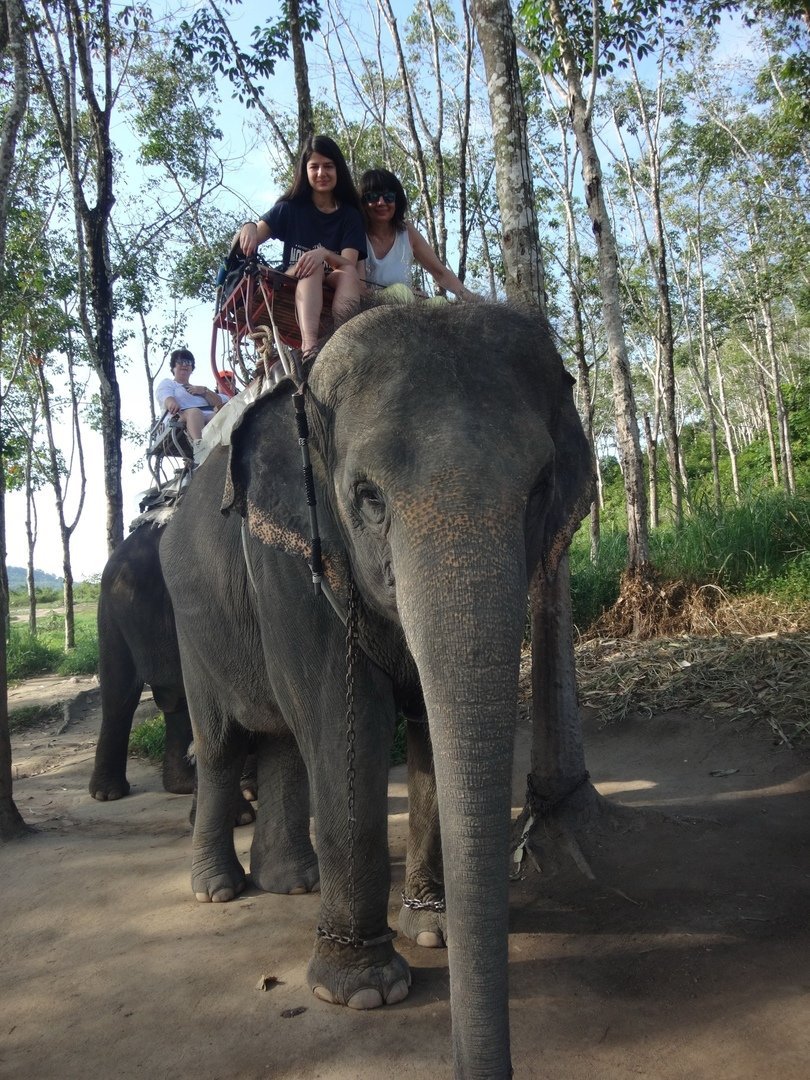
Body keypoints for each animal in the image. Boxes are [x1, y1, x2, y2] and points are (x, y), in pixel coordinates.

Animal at [160, 301, 593, 1079]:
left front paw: (434, 931)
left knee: (281, 742)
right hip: (190, 621)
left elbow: (421, 727)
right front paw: (362, 991)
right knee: (223, 743)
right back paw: (217, 890)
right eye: (367, 498)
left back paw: (291, 882)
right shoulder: (290, 558)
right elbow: (346, 723)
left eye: (540, 489)